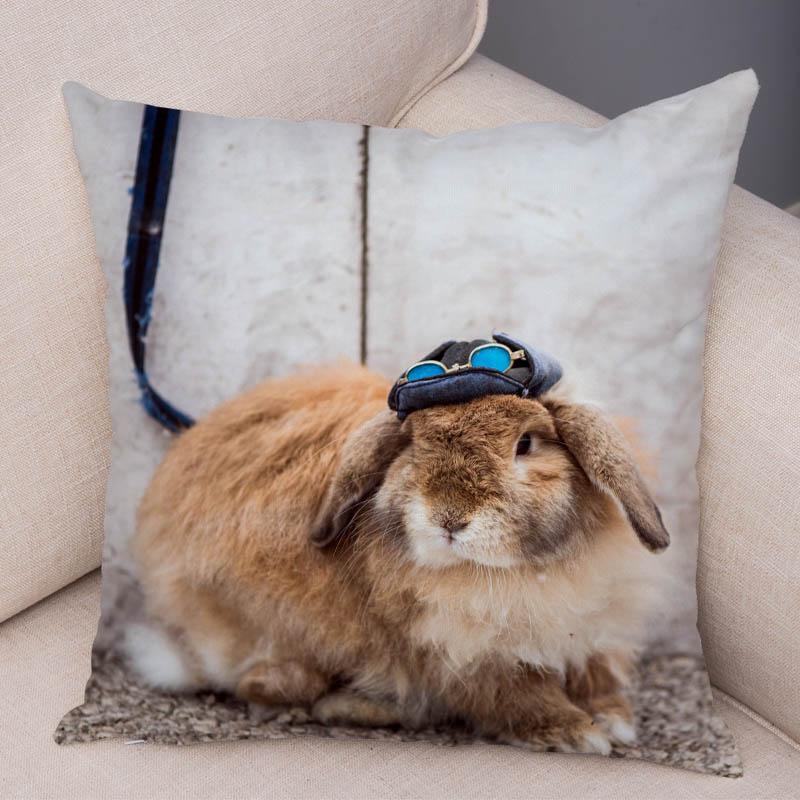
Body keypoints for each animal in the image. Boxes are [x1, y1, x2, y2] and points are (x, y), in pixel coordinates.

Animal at [126, 360, 669, 754]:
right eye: (413, 446)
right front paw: (575, 732)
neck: (515, 573)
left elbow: (596, 674)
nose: (449, 518)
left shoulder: (592, 629)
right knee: (261, 684)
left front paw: (613, 718)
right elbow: (516, 696)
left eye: (526, 444)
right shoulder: (467, 655)